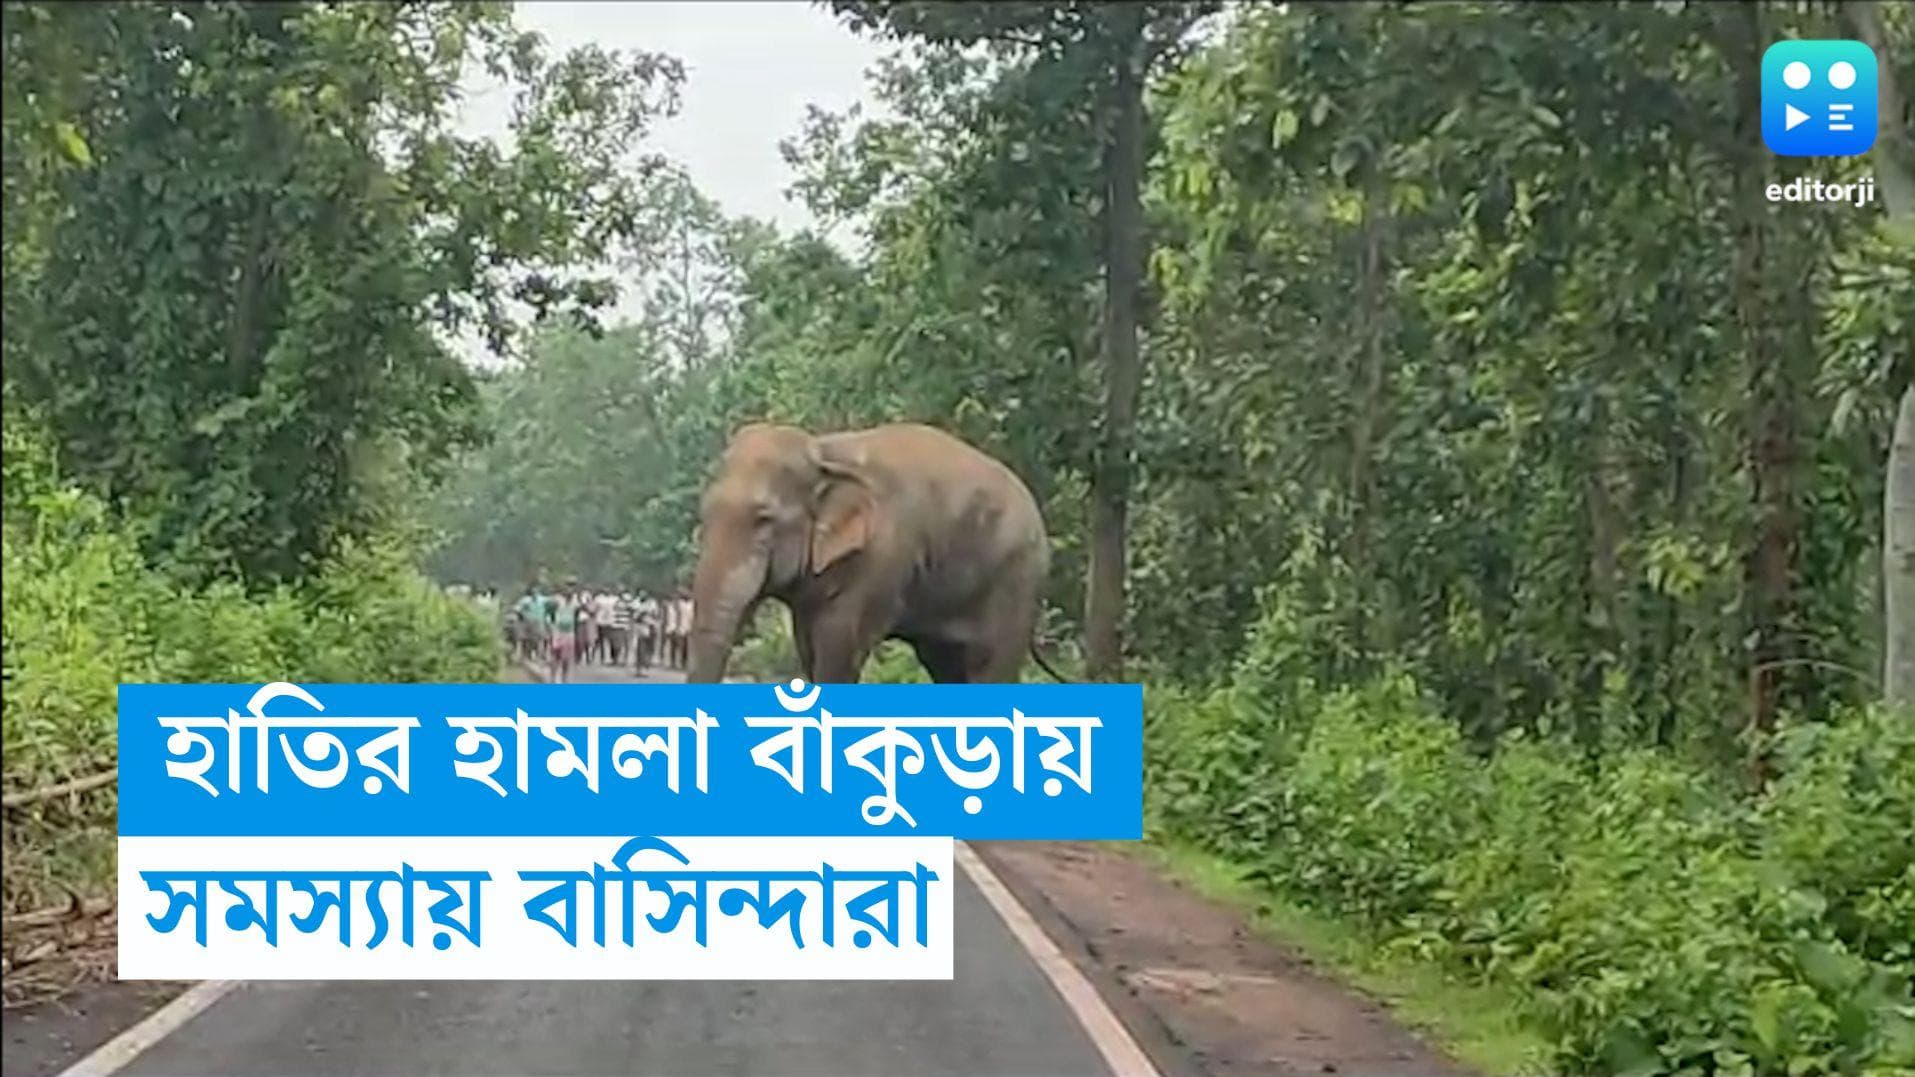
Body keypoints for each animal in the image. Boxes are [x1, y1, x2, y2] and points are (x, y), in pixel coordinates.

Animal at [683, 421, 1064, 684]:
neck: (823, 450)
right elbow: (808, 647)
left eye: (763, 520)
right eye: (704, 513)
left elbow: (839, 647)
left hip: (1016, 581)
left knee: (989, 665)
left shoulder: (881, 558)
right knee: (946, 665)